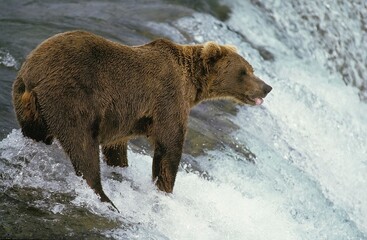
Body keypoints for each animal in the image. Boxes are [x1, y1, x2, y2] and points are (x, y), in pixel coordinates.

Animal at [12, 30, 274, 210]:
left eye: (251, 69)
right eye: (244, 72)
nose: (267, 87)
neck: (192, 85)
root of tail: (33, 74)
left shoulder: (119, 119)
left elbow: (116, 148)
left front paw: (122, 167)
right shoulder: (167, 99)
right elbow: (169, 146)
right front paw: (165, 190)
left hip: (29, 108)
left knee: (36, 134)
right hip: (73, 98)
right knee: (82, 146)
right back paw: (106, 200)